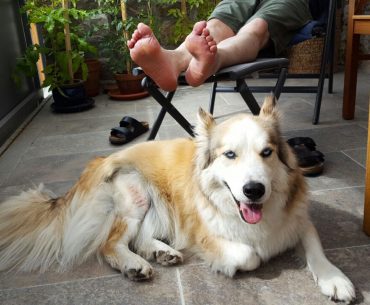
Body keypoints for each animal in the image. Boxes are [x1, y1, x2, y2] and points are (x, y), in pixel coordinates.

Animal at [0, 96, 356, 300]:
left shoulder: (298, 219)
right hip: (137, 195)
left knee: (140, 237)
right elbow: (249, 255)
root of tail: (98, 161)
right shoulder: (206, 234)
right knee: (110, 243)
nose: (254, 190)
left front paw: (335, 279)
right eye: (229, 155)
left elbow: (315, 246)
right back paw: (135, 264)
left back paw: (161, 252)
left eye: (267, 153)